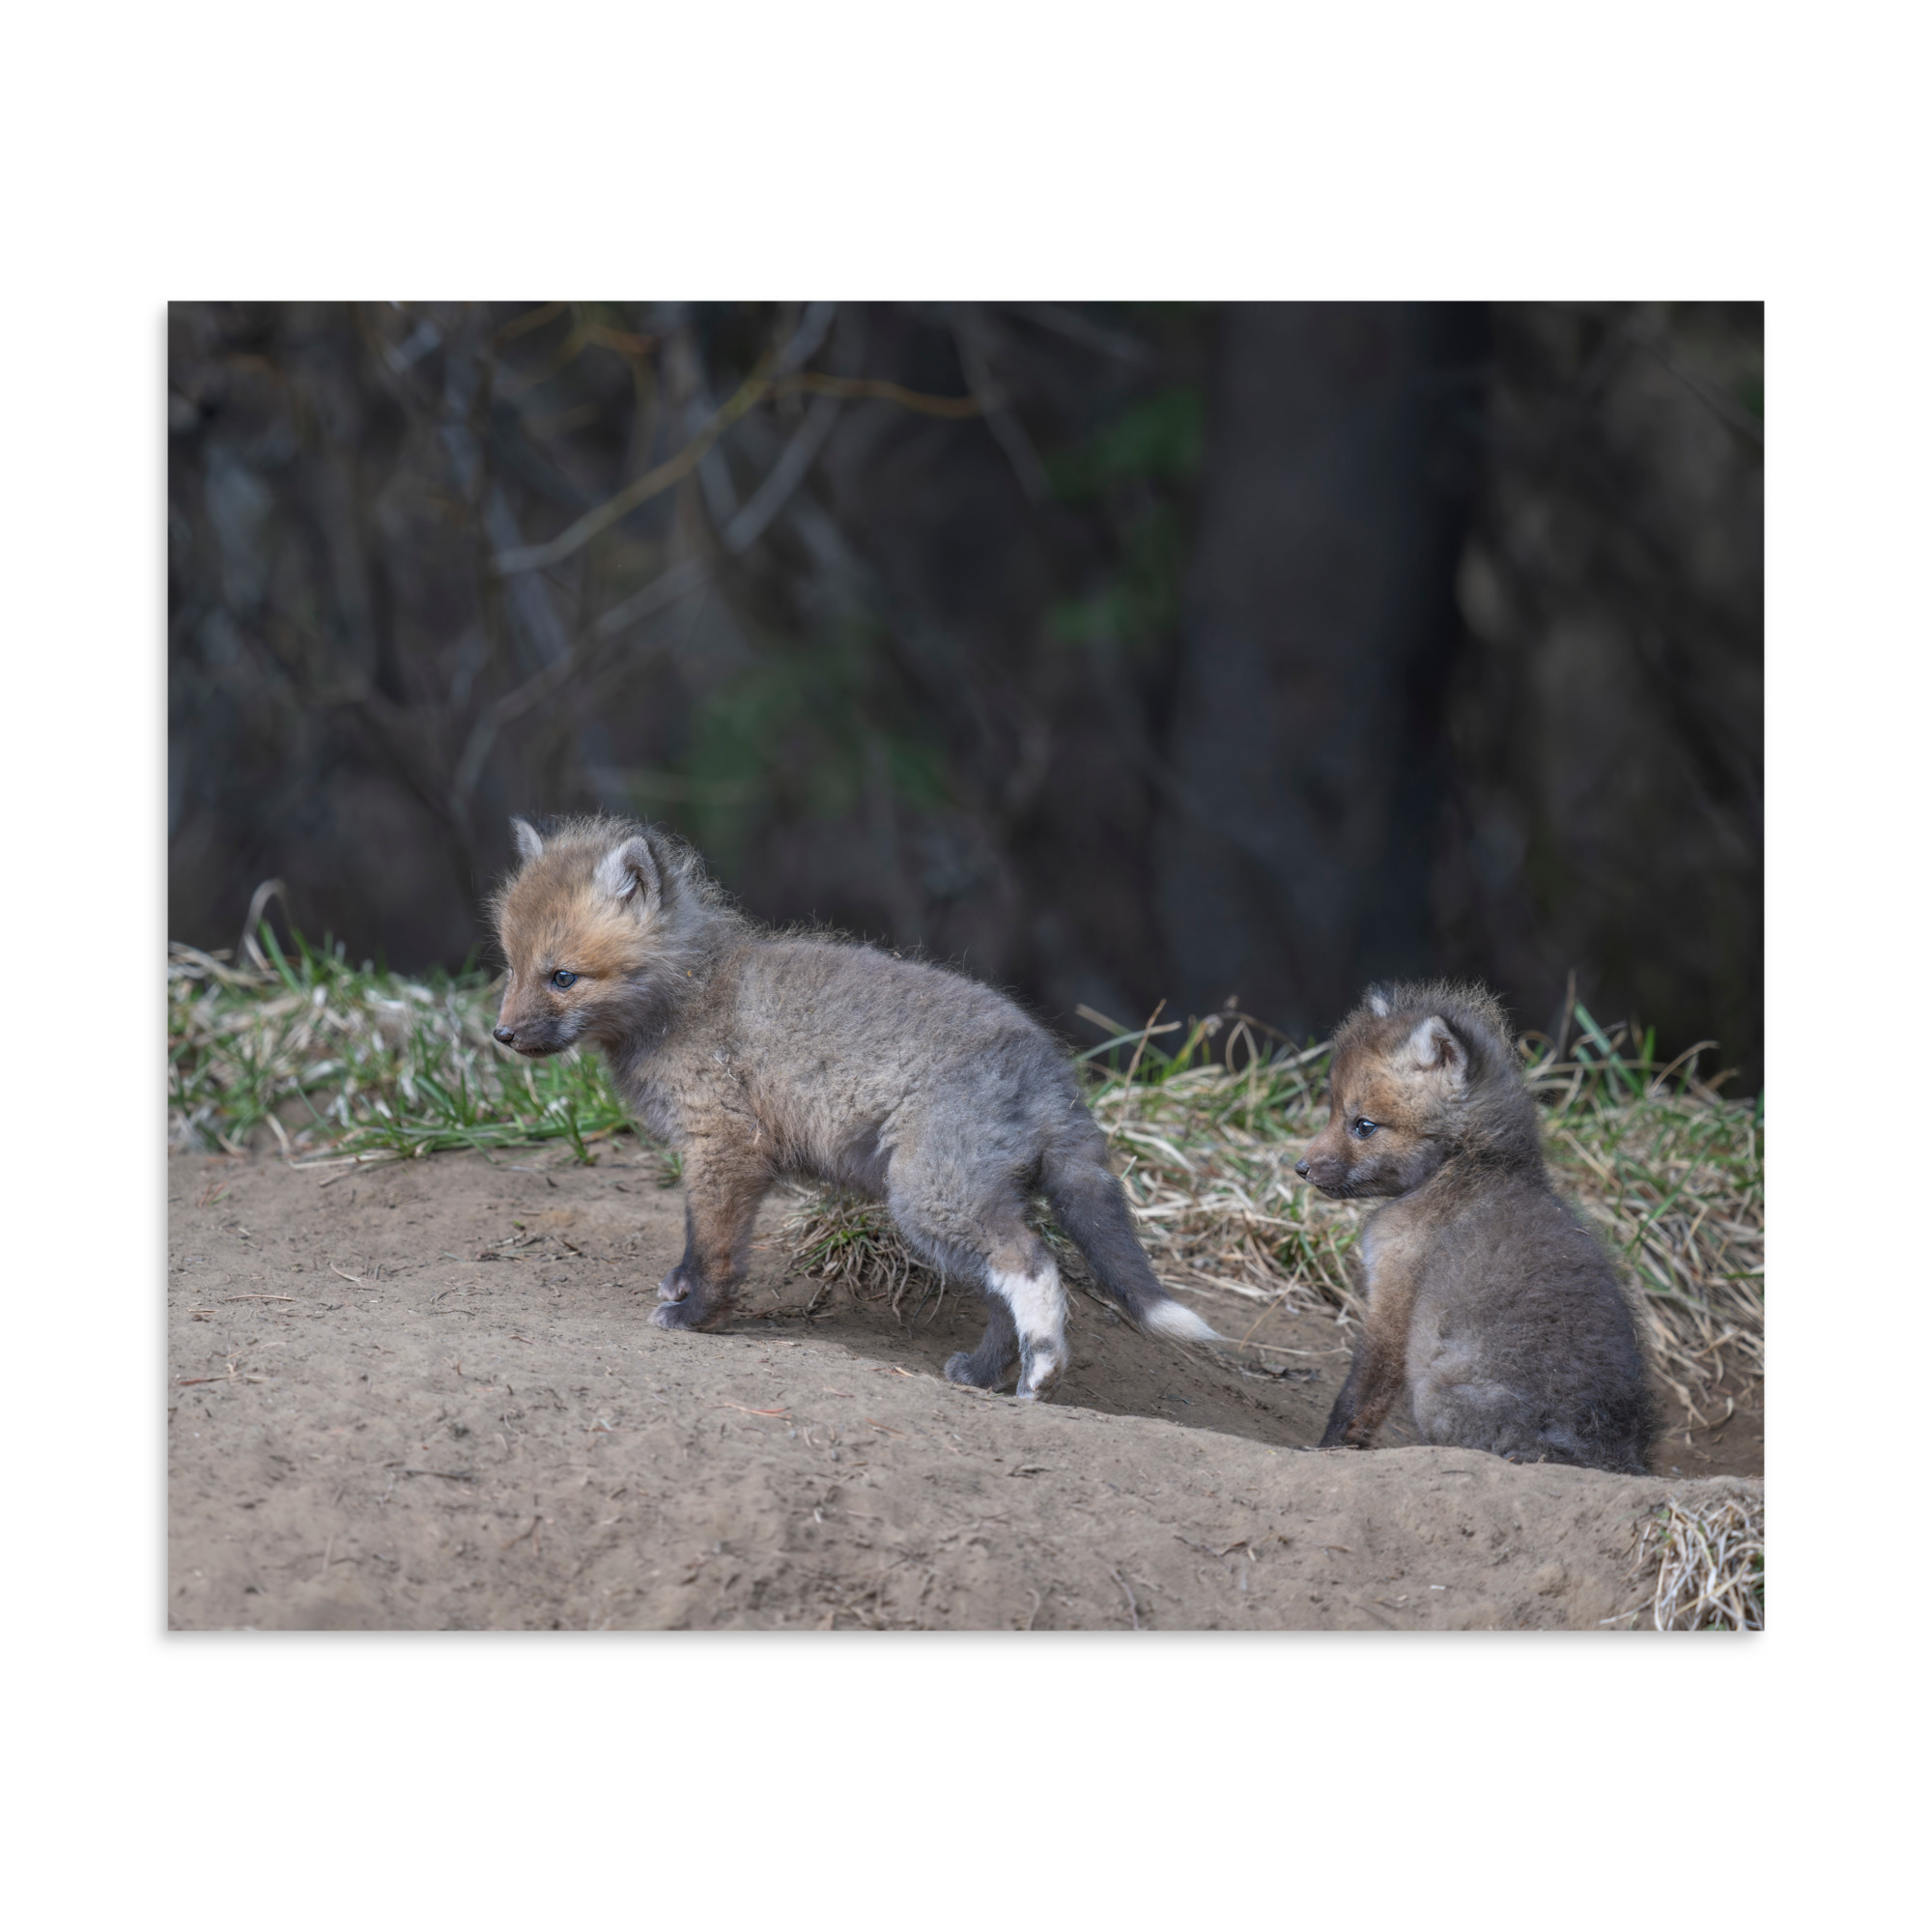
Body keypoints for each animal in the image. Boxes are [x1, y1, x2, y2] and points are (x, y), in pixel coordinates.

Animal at [489, 814, 1220, 1398]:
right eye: (511, 967)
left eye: (563, 977)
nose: (501, 1036)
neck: (687, 996)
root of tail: (1051, 1068)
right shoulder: (718, 1155)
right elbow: (697, 1238)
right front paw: (683, 1289)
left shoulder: (726, 1145)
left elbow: (715, 1246)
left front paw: (697, 1316)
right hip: (964, 1205)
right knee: (1002, 1292)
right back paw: (985, 1375)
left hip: (930, 1199)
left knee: (1032, 1264)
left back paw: (1042, 1372)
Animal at [1295, 981, 1653, 1474]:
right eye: (1332, 1111)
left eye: (1363, 1125)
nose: (1300, 1168)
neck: (1465, 1166)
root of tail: (1606, 1455)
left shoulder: (1394, 1296)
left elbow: (1359, 1395)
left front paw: (1327, 1450)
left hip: (1434, 1394)